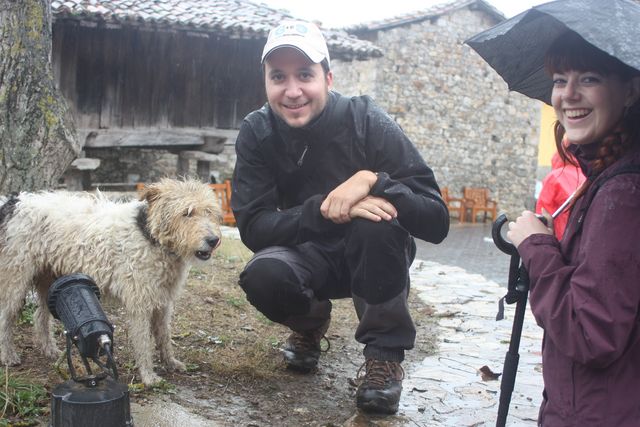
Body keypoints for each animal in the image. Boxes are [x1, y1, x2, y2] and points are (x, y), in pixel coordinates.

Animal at [0, 177, 222, 384]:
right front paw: (148, 376)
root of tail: (14, 202)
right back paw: (8, 355)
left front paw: (171, 362)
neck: (150, 235)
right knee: (5, 317)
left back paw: (49, 350)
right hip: (15, 280)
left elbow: (164, 336)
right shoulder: (139, 303)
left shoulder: (163, 301)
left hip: (50, 280)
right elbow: (143, 342)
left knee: (40, 317)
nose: (214, 240)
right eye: (187, 213)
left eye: (209, 212)